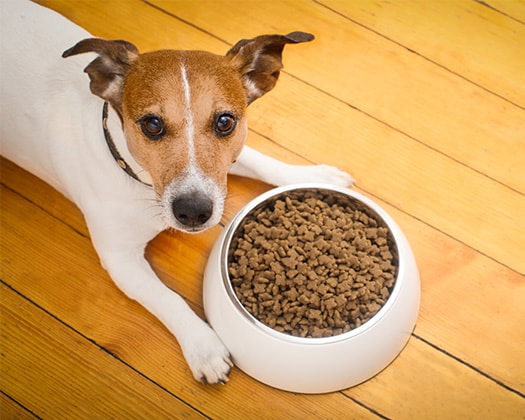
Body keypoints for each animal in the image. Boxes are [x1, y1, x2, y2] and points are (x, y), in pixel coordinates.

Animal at [1, 0, 352, 384]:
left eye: (225, 121)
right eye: (152, 125)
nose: (194, 211)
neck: (137, 179)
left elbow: (257, 160)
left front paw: (314, 175)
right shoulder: (120, 259)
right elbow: (168, 298)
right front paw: (204, 347)